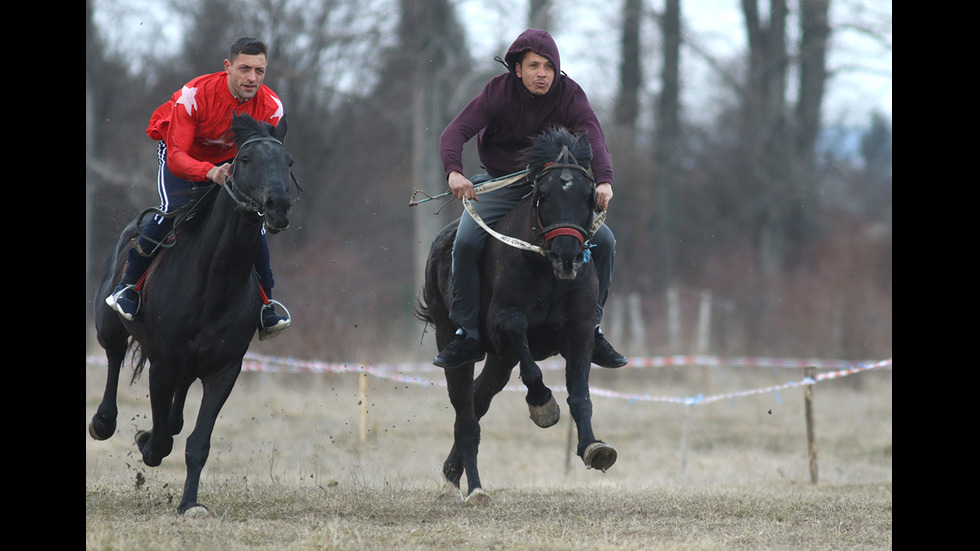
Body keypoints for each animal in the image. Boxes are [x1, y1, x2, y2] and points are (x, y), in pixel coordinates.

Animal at [91, 113, 298, 516]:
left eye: (288, 162)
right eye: (245, 160)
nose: (278, 204)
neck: (214, 280)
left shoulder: (225, 369)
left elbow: (197, 443)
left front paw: (190, 503)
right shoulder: (163, 364)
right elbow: (161, 442)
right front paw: (146, 442)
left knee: (179, 405)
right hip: (108, 324)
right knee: (114, 355)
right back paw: (103, 421)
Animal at [418, 126, 616, 504]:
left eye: (589, 195)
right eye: (543, 194)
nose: (568, 255)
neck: (545, 269)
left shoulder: (580, 330)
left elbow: (580, 394)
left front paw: (593, 447)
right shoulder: (504, 323)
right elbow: (530, 363)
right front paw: (542, 405)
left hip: (499, 360)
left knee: (478, 402)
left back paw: (452, 475)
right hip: (455, 343)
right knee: (466, 416)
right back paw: (473, 488)